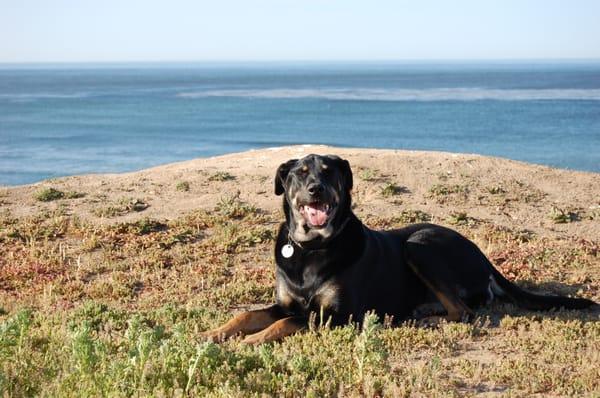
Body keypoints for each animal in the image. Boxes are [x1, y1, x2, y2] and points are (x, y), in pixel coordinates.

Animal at [204, 154, 596, 344]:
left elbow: (286, 322)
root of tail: (484, 258)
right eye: (299, 173)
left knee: (464, 311)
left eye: (328, 171)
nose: (316, 188)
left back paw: (425, 318)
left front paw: (250, 342)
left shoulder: (338, 316)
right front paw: (214, 333)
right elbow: (248, 315)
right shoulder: (286, 302)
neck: (311, 248)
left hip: (418, 246)